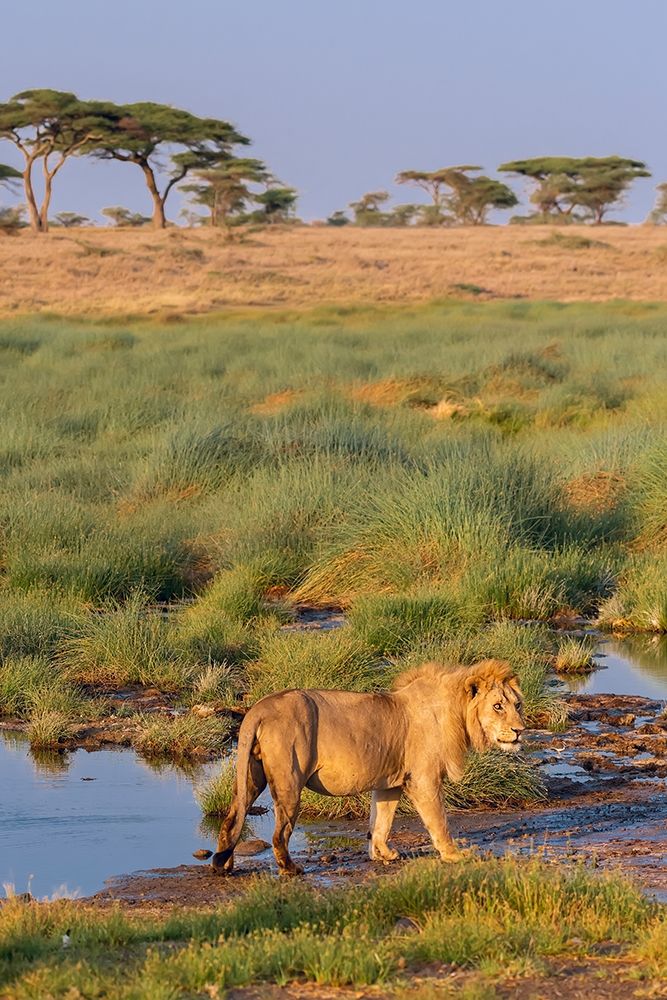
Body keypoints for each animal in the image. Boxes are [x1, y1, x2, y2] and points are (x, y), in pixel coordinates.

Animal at [201, 660, 524, 872]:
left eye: (517, 704)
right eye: (497, 706)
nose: (521, 730)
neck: (456, 712)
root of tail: (258, 708)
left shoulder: (390, 782)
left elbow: (381, 821)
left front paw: (382, 854)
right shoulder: (424, 778)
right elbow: (439, 821)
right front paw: (454, 855)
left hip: (251, 775)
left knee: (232, 817)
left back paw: (224, 864)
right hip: (288, 780)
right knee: (280, 832)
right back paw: (291, 869)